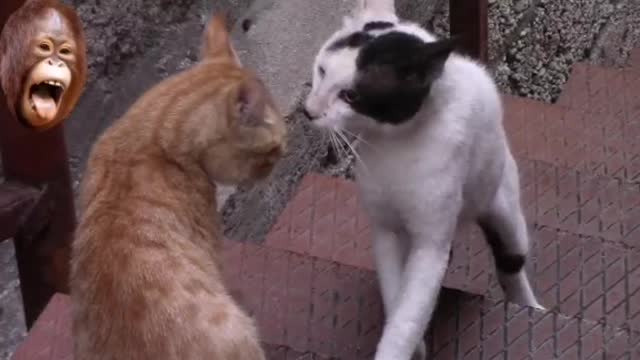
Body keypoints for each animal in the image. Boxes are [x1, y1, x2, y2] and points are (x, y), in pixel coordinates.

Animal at [304, 1, 540, 358]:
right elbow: (397, 296)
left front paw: (400, 347)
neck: (394, 145)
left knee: (511, 262)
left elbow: (408, 316)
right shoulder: (385, 229)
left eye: (350, 95)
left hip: (502, 203)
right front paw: (415, 346)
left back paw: (529, 305)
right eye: (321, 71)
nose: (309, 111)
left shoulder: (430, 243)